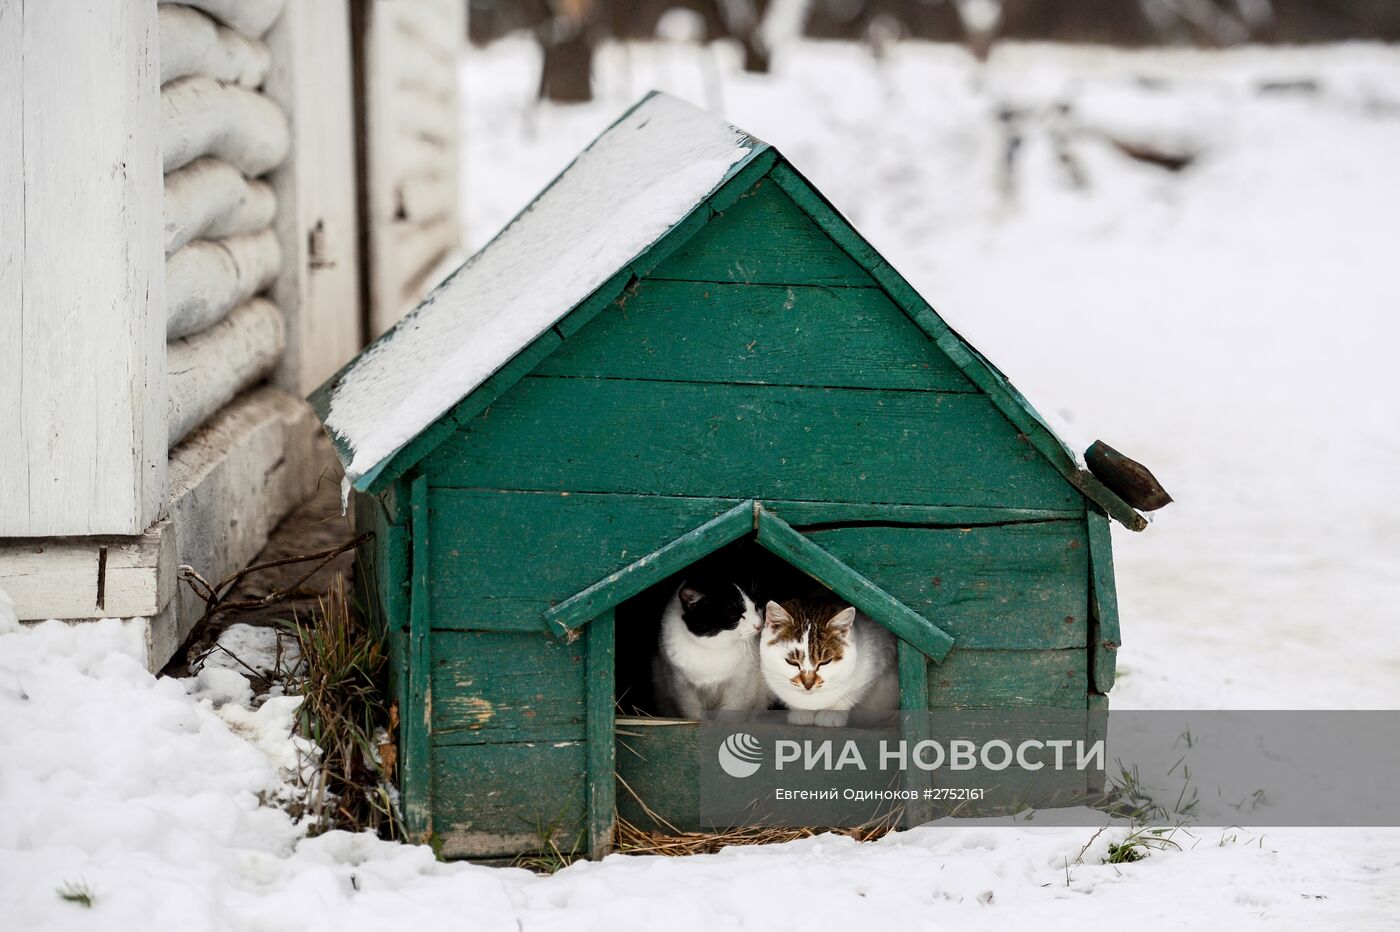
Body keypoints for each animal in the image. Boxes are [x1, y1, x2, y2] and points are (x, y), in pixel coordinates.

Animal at [652, 565, 772, 716]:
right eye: (734, 614)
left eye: (756, 605)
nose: (759, 625)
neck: (715, 648)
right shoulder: (681, 686)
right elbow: (693, 713)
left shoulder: (739, 684)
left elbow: (730, 711)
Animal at [761, 598, 901, 722]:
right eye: (792, 662)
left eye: (825, 662)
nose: (808, 685)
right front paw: (801, 712)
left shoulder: (874, 665)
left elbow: (849, 695)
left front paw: (832, 713)